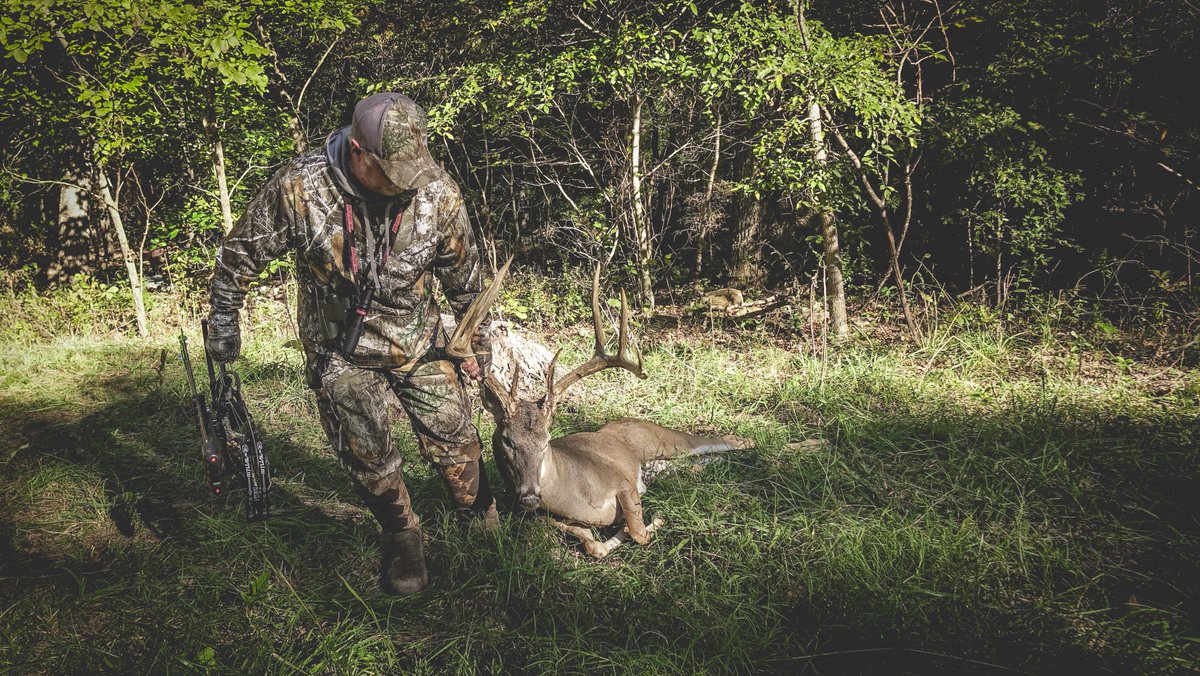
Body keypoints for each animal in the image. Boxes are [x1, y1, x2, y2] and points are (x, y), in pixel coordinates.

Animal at [448, 261, 753, 558]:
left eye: (546, 440)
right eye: (508, 441)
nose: (530, 497)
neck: (574, 495)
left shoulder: (623, 483)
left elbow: (639, 532)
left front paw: (654, 519)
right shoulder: (551, 517)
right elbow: (593, 546)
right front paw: (613, 535)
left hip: (663, 441)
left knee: (726, 440)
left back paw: (752, 445)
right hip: (664, 462)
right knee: (695, 463)